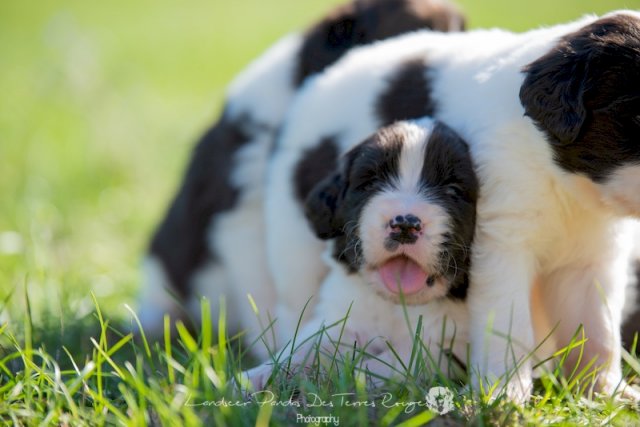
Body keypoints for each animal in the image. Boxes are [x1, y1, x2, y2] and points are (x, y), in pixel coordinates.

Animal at [244, 118, 477, 389]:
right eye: (371, 183)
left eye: (453, 190)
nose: (405, 224)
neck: (396, 304)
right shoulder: (345, 310)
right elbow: (307, 345)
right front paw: (253, 378)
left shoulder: (454, 343)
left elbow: (406, 359)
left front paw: (352, 379)